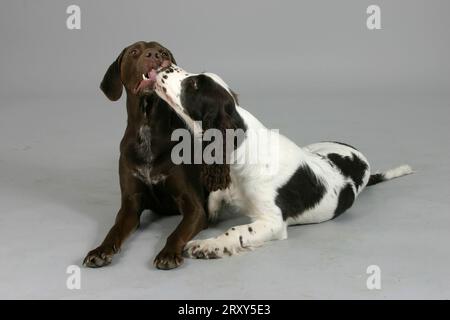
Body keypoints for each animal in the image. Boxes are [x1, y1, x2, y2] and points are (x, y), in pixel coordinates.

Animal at [84, 41, 209, 268]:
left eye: (164, 52)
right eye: (134, 52)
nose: (155, 55)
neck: (147, 125)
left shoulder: (194, 207)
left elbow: (176, 233)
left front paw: (168, 253)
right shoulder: (130, 205)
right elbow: (114, 230)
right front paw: (101, 250)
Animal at [153, 63, 414, 258]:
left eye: (194, 85)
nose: (163, 66)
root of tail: (362, 159)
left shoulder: (272, 221)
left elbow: (236, 230)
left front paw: (207, 245)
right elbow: (214, 199)